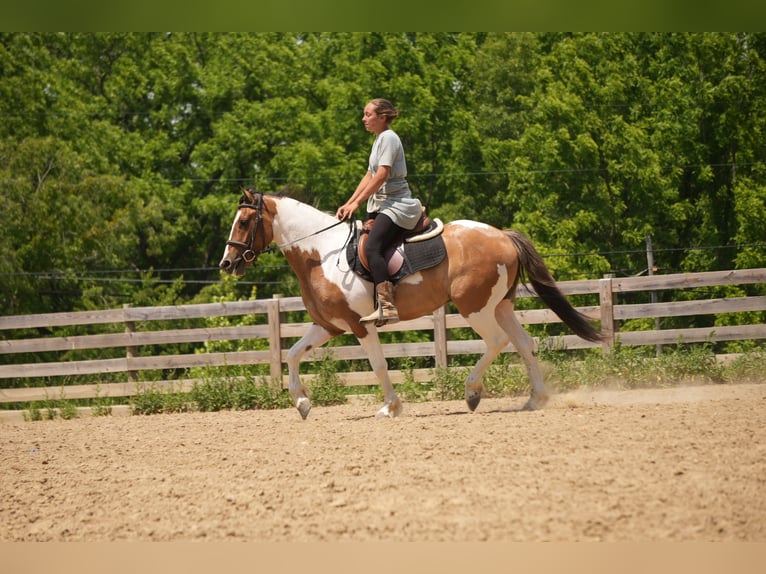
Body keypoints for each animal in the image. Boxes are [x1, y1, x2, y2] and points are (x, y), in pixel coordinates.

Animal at [219, 188, 602, 419]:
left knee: (497, 341)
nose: (226, 263)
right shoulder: (327, 326)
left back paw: (472, 393)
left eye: (244, 221)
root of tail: (502, 235)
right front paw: (301, 402)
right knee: (524, 343)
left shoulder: (359, 326)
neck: (322, 254)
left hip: (475, 307)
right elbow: (293, 354)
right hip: (499, 306)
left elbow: (378, 366)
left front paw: (390, 407)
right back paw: (535, 399)